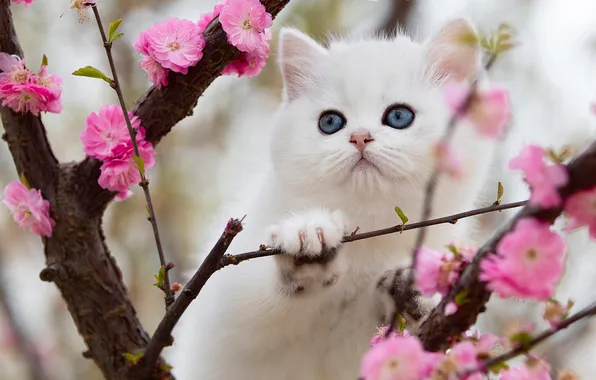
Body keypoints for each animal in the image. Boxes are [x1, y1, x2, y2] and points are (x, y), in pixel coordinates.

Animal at [171, 20, 498, 380]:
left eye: (399, 116)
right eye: (330, 122)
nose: (360, 137)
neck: (370, 232)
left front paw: (421, 292)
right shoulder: (224, 307)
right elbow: (248, 310)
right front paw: (308, 245)